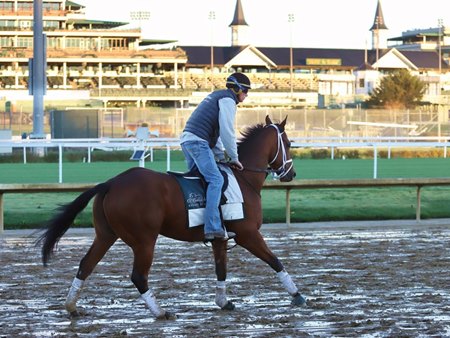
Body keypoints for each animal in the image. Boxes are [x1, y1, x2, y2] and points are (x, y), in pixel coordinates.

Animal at [37, 115, 306, 318]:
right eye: (289, 143)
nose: (291, 174)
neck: (243, 179)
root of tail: (111, 183)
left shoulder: (220, 238)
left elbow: (221, 270)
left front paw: (223, 302)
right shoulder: (248, 234)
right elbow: (275, 261)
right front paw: (297, 295)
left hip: (105, 235)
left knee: (86, 265)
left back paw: (72, 307)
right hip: (144, 240)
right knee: (138, 276)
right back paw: (160, 312)